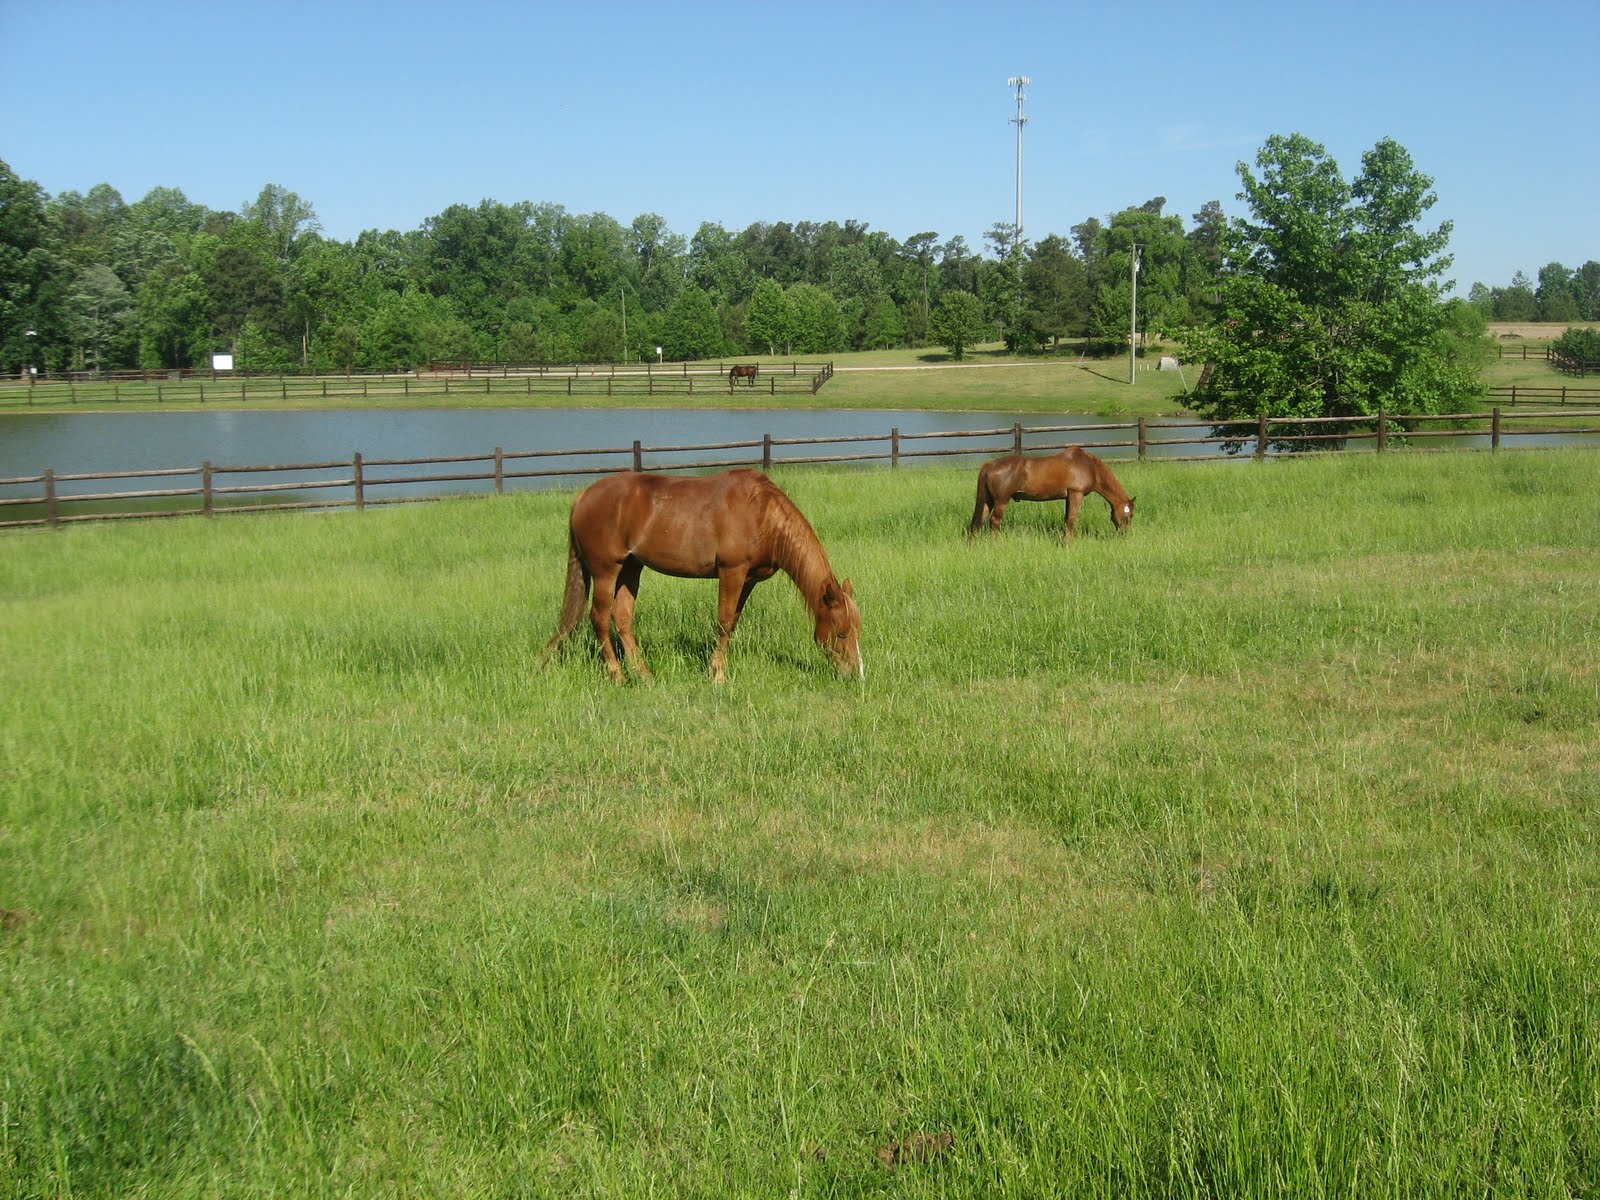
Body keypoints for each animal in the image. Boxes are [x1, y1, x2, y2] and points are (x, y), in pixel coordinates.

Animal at [543, 468, 863, 683]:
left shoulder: (748, 579)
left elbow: (733, 622)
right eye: (841, 632)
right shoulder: (732, 572)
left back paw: (643, 674)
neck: (761, 513)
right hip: (606, 571)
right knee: (599, 618)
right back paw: (617, 675)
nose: (855, 674)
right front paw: (717, 674)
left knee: (621, 618)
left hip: (631, 568)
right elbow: (724, 622)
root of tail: (584, 495)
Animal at [969, 447, 1135, 539]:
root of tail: (989, 465)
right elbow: (1071, 520)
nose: (1125, 534)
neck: (1090, 466)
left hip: (988, 501)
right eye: (1128, 516)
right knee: (994, 522)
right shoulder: (1076, 494)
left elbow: (1066, 520)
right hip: (1001, 501)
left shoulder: (1068, 497)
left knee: (978, 522)